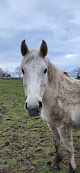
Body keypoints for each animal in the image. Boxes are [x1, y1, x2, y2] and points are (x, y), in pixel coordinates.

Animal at [19, 39, 80, 172]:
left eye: (45, 70)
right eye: (23, 70)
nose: (33, 107)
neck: (56, 96)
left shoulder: (64, 127)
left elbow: (69, 149)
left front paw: (72, 169)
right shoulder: (51, 125)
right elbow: (56, 144)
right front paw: (56, 162)